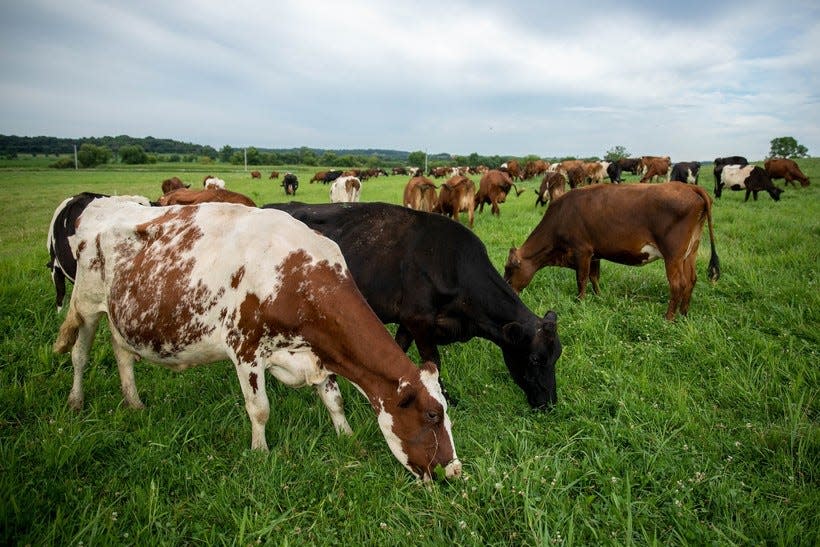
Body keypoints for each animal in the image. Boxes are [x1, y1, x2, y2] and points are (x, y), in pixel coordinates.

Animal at [52, 199, 462, 482]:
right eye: (432, 415)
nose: (455, 471)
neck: (293, 275)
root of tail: (104, 205)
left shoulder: (318, 350)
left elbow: (335, 398)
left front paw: (346, 438)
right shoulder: (244, 347)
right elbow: (259, 407)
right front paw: (261, 453)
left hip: (122, 316)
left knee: (122, 353)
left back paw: (134, 402)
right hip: (86, 303)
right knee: (79, 354)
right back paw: (75, 401)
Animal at [262, 202, 564, 412]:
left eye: (557, 356)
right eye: (535, 359)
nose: (549, 403)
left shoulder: (408, 321)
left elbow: (399, 351)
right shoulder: (420, 320)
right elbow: (435, 362)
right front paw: (446, 399)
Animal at [502, 184, 720, 322]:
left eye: (509, 269)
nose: (507, 291)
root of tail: (689, 187)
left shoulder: (582, 250)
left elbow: (581, 279)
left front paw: (580, 302)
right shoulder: (595, 253)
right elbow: (594, 277)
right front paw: (599, 297)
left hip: (673, 254)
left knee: (678, 284)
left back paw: (668, 318)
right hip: (690, 252)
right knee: (691, 280)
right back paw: (683, 315)